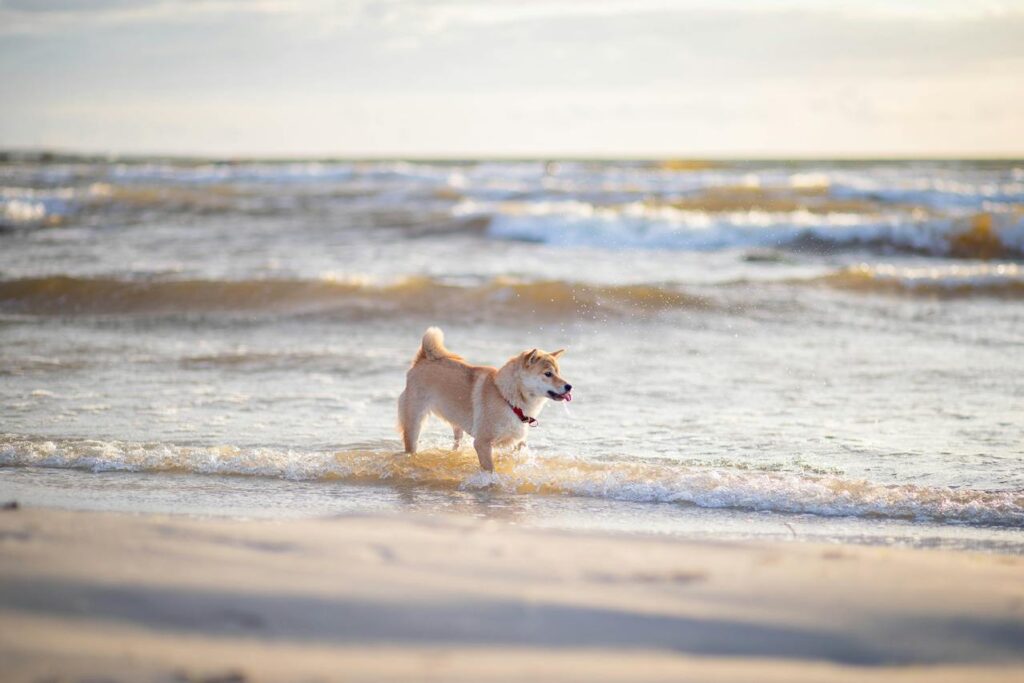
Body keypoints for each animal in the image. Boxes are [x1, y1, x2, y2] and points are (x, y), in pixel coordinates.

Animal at [397, 327, 573, 471]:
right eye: (548, 374)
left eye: (559, 372)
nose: (569, 386)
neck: (507, 398)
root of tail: (423, 359)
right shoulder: (482, 442)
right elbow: (490, 468)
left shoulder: (514, 441)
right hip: (414, 424)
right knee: (411, 445)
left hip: (457, 426)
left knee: (456, 442)